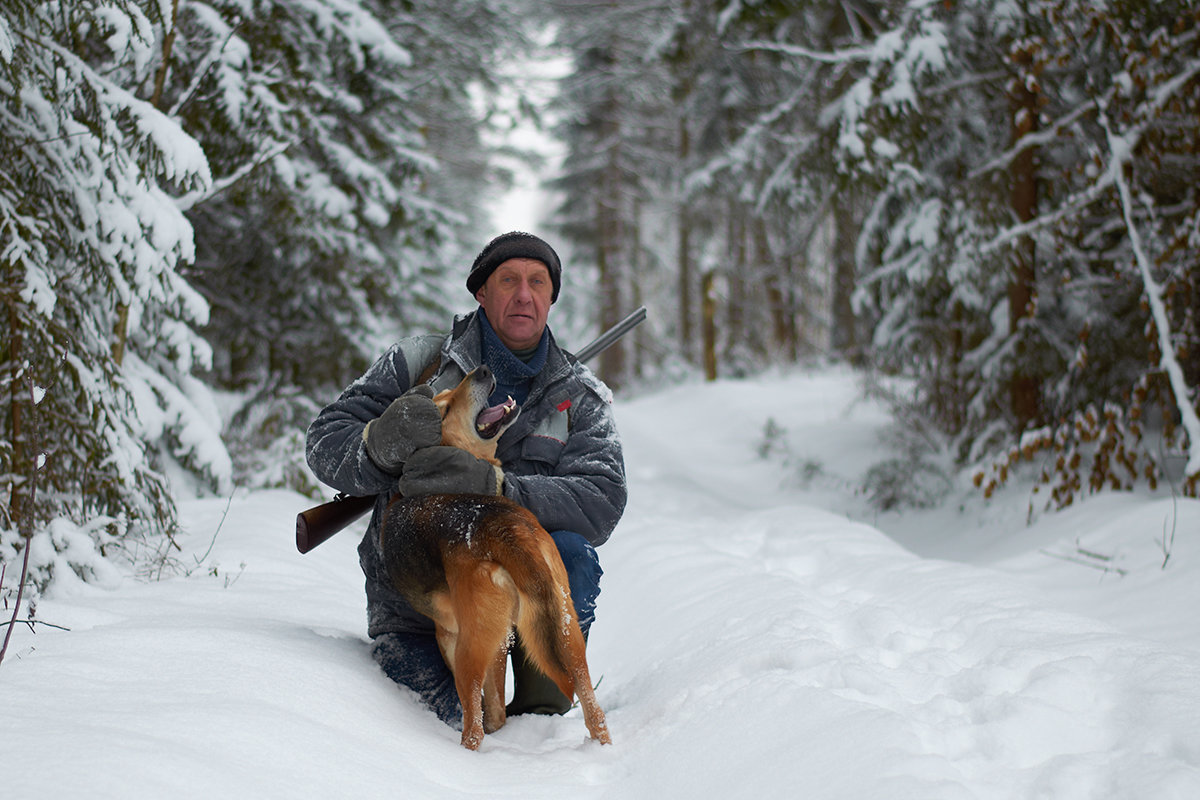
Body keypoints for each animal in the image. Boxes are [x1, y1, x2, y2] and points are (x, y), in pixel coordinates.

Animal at [379, 367, 614, 753]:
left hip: (470, 649)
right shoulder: (501, 643)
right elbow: (498, 708)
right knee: (591, 704)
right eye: (443, 406)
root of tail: (506, 529)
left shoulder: (450, 635)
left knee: (472, 724)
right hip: (566, 632)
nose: (482, 371)